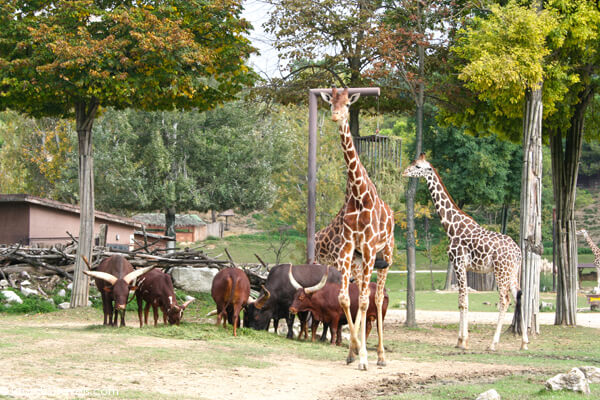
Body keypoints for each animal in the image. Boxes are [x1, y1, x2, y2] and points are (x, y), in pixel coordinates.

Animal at [314, 86, 394, 370]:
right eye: (332, 102)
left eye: (348, 103)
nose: (336, 116)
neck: (359, 196)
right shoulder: (349, 248)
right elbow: (346, 298)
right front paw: (354, 351)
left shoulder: (369, 248)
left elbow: (365, 301)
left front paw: (364, 357)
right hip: (361, 260)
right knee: (363, 294)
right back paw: (360, 351)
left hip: (386, 256)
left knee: (377, 298)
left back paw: (380, 356)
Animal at [404, 153, 524, 350]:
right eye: (413, 163)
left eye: (418, 166)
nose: (405, 171)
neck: (451, 226)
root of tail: (518, 252)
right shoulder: (463, 266)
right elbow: (462, 301)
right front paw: (460, 340)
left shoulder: (458, 263)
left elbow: (463, 302)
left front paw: (463, 341)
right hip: (512, 272)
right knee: (518, 296)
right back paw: (524, 343)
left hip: (501, 271)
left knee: (504, 300)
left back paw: (493, 344)